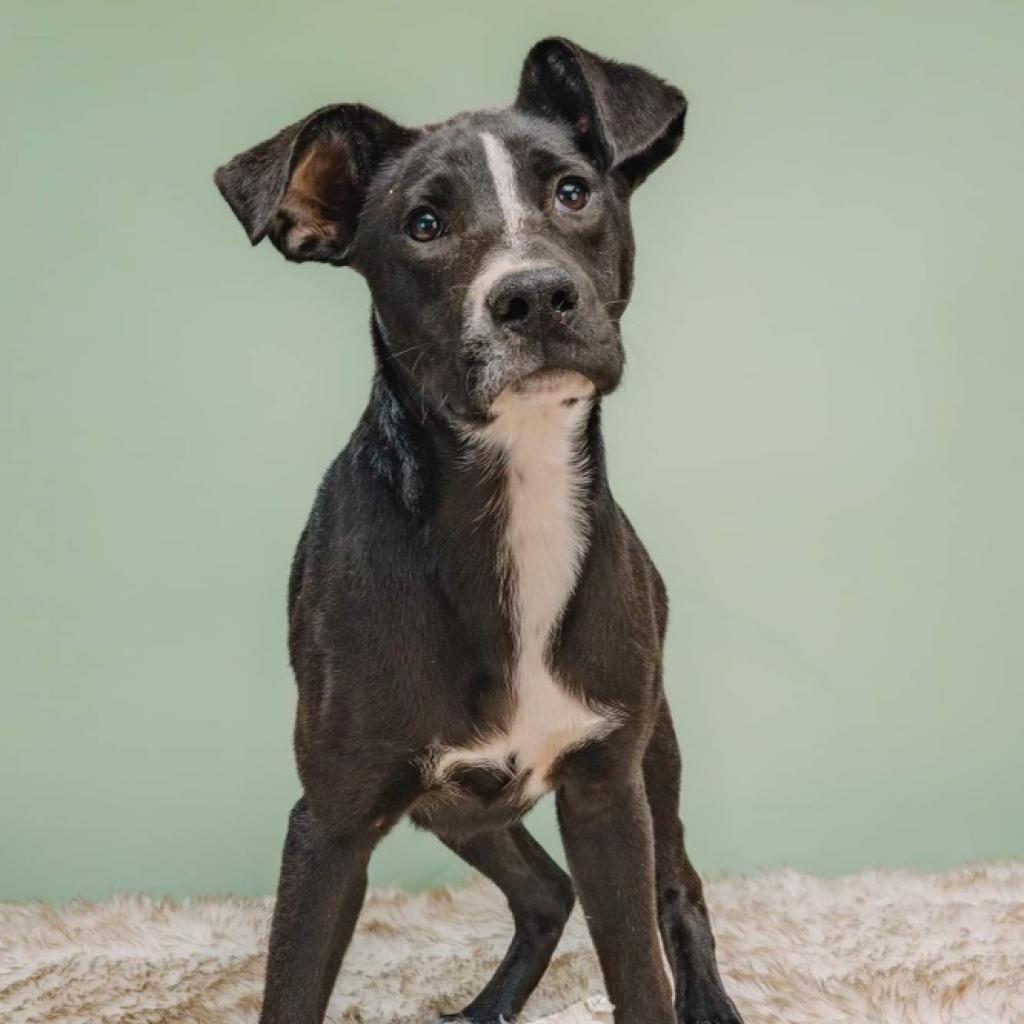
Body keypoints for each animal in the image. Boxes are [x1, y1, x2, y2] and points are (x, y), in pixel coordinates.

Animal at [216, 37, 745, 1024]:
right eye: (423, 224)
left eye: (573, 191)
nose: (534, 296)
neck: (513, 496)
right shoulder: (332, 822)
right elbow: (291, 990)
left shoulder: (606, 791)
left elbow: (640, 973)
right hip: (454, 805)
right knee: (545, 891)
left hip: (652, 753)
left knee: (676, 887)